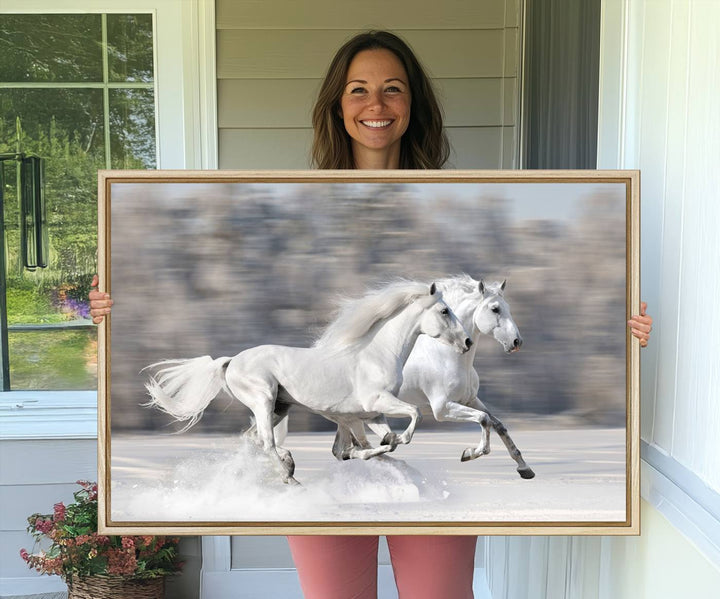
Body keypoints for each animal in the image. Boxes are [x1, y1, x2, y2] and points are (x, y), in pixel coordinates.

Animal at [146, 282, 472, 482]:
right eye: (444, 311)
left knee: (254, 440)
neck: (377, 354)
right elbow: (412, 417)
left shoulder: (371, 414)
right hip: (263, 400)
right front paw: (396, 441)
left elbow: (375, 444)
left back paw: (289, 465)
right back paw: (289, 476)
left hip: (280, 407)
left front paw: (384, 447)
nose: (467, 341)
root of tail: (230, 362)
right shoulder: (376, 404)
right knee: (266, 441)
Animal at [332, 278, 536, 482]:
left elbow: (498, 425)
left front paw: (524, 468)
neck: (447, 356)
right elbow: (483, 419)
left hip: (348, 417)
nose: (517, 342)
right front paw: (469, 453)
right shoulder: (442, 408)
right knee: (352, 448)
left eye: (507, 307)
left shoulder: (470, 400)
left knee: (342, 450)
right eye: (495, 309)